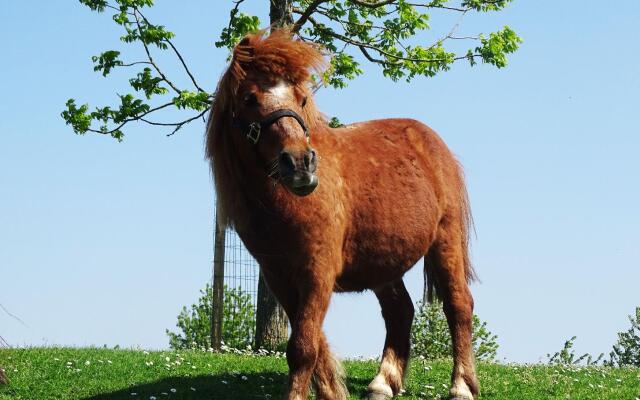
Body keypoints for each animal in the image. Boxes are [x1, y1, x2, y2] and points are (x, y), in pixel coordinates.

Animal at [208, 29, 478, 398]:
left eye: (301, 99)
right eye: (249, 98)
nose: (301, 164)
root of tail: (434, 144)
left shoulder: (317, 272)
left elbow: (303, 347)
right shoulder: (280, 278)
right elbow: (314, 345)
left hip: (446, 242)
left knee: (458, 305)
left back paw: (462, 385)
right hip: (383, 262)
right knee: (400, 311)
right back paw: (383, 383)